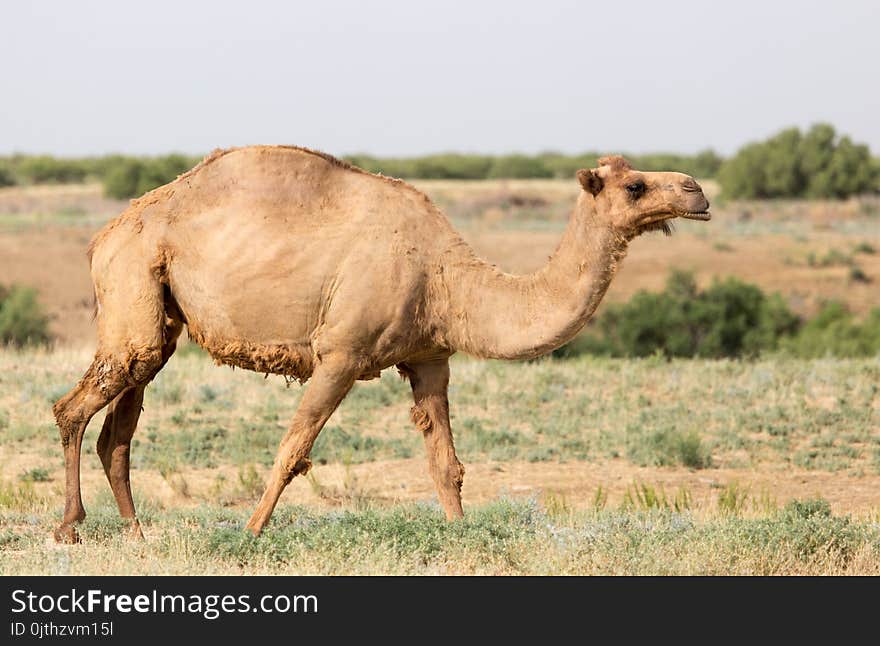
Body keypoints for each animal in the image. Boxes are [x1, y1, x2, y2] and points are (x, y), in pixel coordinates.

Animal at [49, 146, 708, 540]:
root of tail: (103, 235)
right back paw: (70, 529)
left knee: (118, 430)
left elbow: (446, 463)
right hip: (132, 285)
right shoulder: (341, 353)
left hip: (157, 322)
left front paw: (460, 537)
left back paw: (137, 535)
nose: (696, 190)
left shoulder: (430, 356)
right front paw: (250, 534)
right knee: (73, 408)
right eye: (635, 186)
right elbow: (293, 448)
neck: (447, 278)